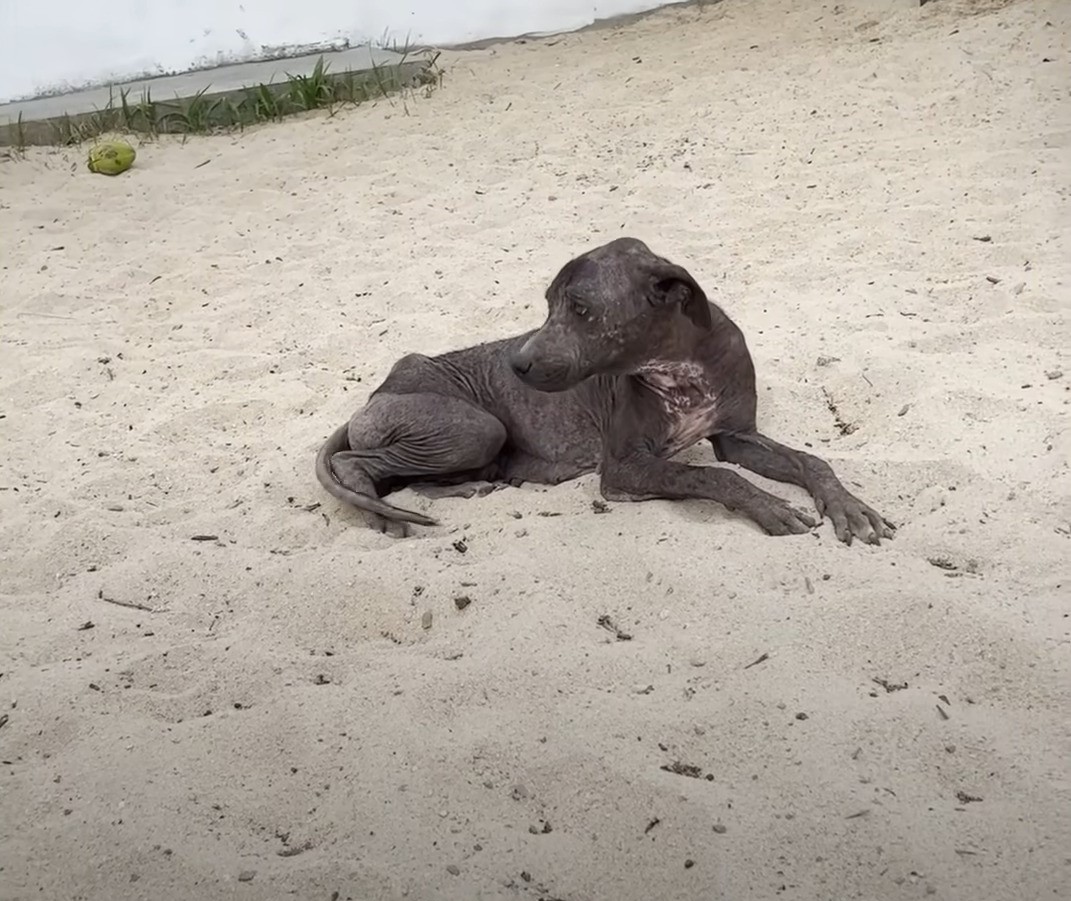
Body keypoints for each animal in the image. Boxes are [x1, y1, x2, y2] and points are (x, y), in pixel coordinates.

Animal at [314, 235, 895, 544]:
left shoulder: (738, 437)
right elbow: (711, 475)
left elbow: (811, 462)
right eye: (548, 304)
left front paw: (847, 505)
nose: (515, 362)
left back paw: (459, 491)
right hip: (475, 428)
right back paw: (379, 512)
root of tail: (380, 390)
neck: (678, 367)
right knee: (354, 464)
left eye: (580, 308)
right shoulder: (623, 467)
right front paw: (767, 504)